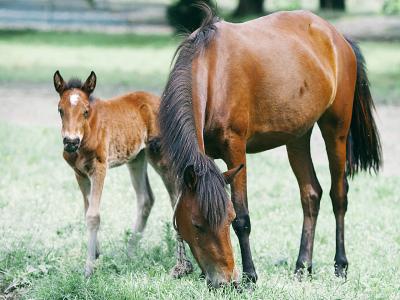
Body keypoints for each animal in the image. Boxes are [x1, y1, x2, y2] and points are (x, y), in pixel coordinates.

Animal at [52, 70, 193, 276]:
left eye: (86, 111)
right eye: (60, 110)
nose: (70, 142)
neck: (87, 133)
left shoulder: (99, 168)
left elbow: (93, 216)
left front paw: (89, 269)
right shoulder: (79, 173)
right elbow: (87, 210)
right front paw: (96, 254)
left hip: (161, 157)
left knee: (175, 198)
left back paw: (180, 261)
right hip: (137, 158)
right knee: (146, 199)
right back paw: (129, 252)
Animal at [159, 7, 382, 288]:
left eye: (228, 219)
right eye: (197, 225)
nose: (224, 281)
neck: (212, 72)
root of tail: (338, 37)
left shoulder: (235, 148)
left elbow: (243, 217)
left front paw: (250, 276)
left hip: (336, 130)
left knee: (338, 195)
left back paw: (340, 266)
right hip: (297, 137)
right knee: (311, 194)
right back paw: (302, 267)